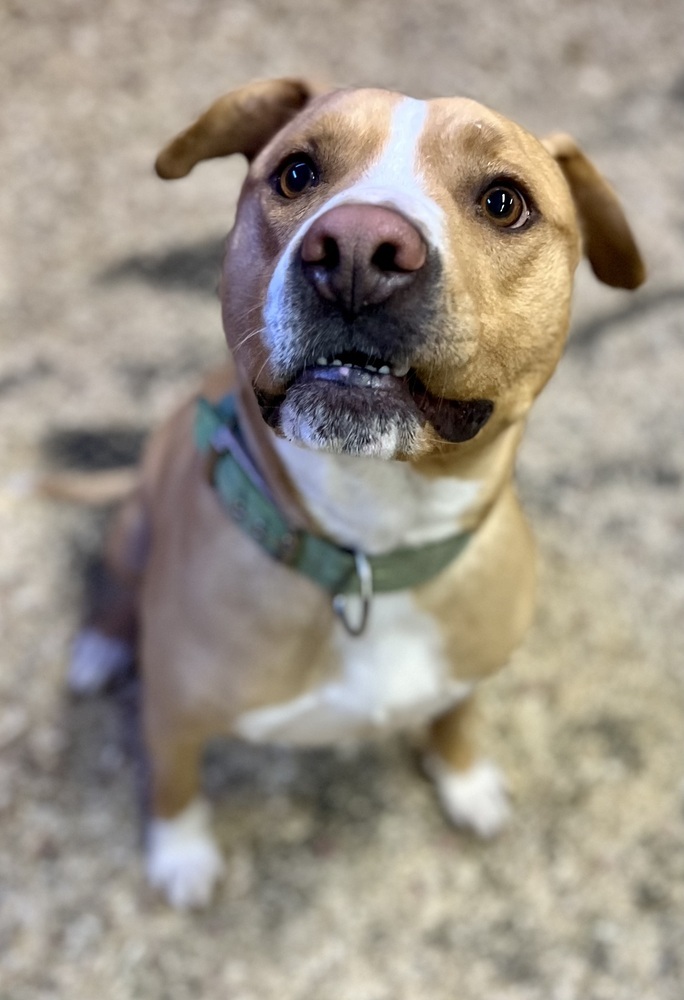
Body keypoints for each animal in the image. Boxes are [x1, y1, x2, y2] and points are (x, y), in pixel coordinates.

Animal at [67, 78, 644, 908]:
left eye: (504, 201)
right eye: (297, 173)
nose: (359, 250)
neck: (373, 543)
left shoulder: (471, 670)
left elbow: (457, 718)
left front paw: (465, 779)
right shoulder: (172, 712)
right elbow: (174, 783)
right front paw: (180, 855)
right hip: (132, 519)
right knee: (116, 582)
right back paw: (101, 644)